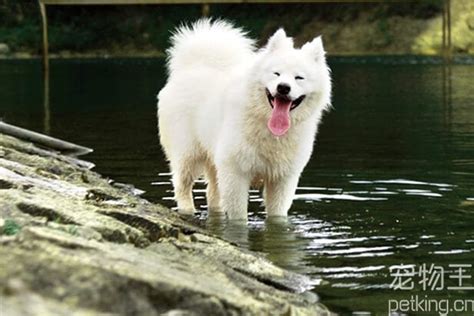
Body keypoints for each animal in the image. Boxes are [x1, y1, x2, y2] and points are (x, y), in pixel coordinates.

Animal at [157, 19, 332, 220]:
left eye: (299, 78)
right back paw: (187, 210)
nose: (283, 87)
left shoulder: (282, 179)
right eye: (276, 74)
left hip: (214, 159)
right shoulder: (235, 173)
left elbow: (277, 216)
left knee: (212, 193)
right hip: (189, 153)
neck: (268, 127)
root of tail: (192, 66)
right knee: (182, 185)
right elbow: (239, 216)